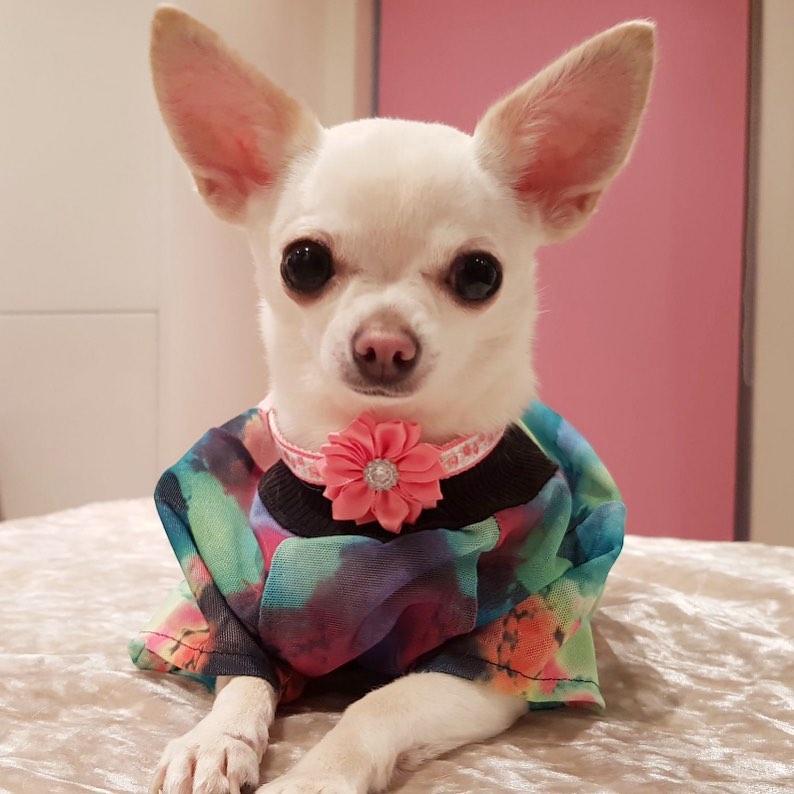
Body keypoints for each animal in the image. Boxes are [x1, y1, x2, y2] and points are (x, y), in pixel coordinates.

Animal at [145, 7, 652, 792]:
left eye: (479, 274)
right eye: (303, 263)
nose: (385, 345)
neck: (377, 462)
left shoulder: (487, 668)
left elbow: (376, 707)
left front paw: (317, 776)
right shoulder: (237, 608)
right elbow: (243, 675)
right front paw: (214, 738)